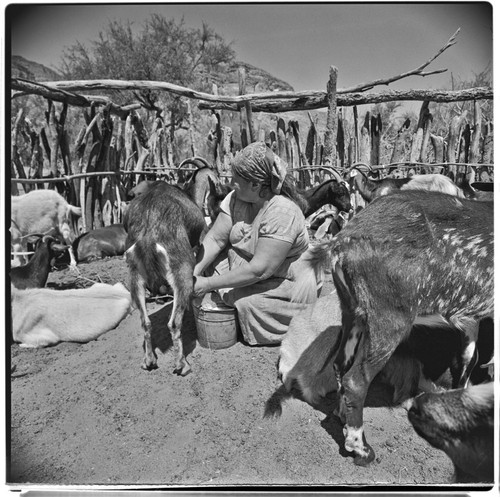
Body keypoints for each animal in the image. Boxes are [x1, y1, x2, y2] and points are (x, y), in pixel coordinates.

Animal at [124, 181, 208, 372]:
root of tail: (147, 237)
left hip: (135, 276)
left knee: (145, 322)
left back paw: (149, 361)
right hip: (182, 271)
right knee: (174, 323)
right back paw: (182, 365)